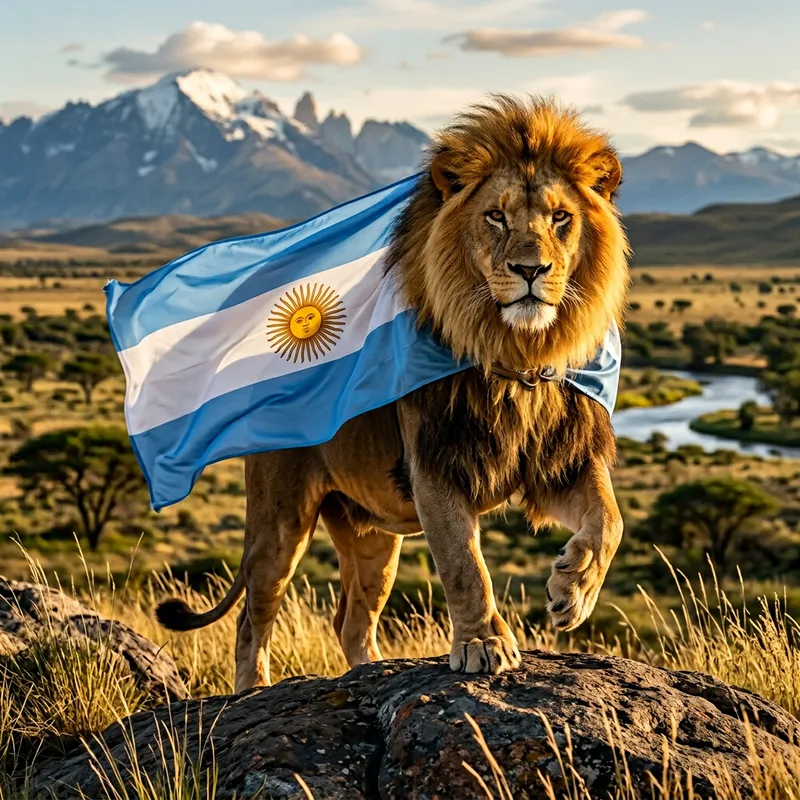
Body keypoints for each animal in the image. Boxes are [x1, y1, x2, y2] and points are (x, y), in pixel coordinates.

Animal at [156, 95, 630, 691]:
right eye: (495, 216)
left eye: (560, 218)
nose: (530, 269)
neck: (516, 352)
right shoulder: (436, 465)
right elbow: (464, 563)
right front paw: (483, 643)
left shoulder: (561, 461)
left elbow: (610, 521)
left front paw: (572, 591)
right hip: (280, 525)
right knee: (252, 617)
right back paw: (253, 690)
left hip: (373, 536)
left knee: (352, 620)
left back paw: (372, 671)